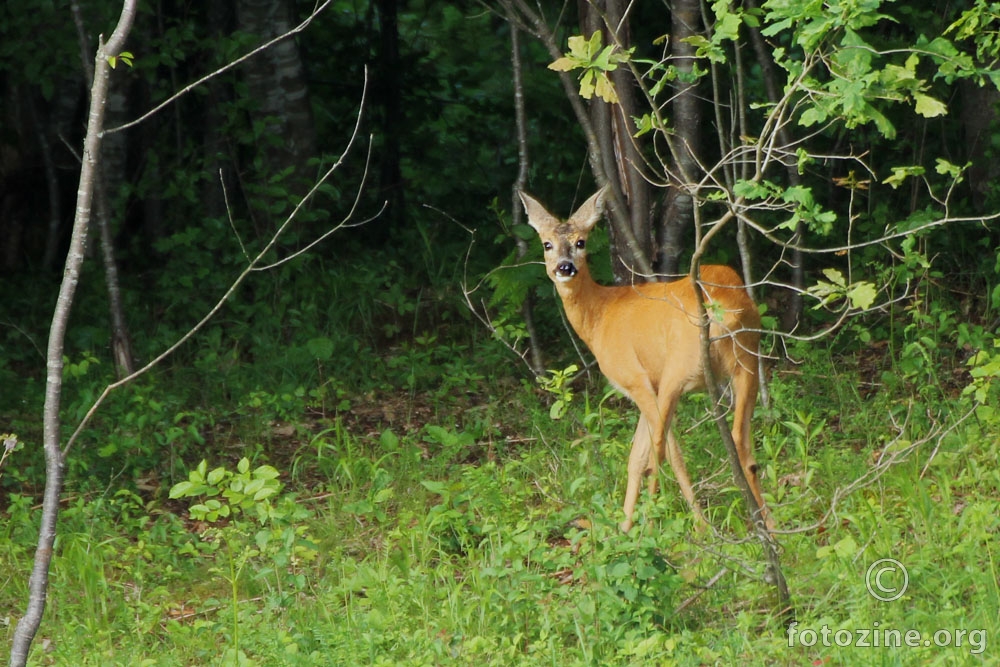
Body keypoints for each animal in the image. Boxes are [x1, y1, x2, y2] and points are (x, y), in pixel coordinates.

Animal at [516, 185, 772, 536]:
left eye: (581, 242)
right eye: (547, 244)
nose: (565, 267)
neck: (599, 317)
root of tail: (726, 307)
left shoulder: (636, 379)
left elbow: (657, 452)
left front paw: (645, 526)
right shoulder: (642, 387)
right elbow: (634, 457)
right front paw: (623, 527)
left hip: (679, 368)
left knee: (664, 449)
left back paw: (665, 524)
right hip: (747, 360)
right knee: (741, 443)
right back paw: (769, 526)